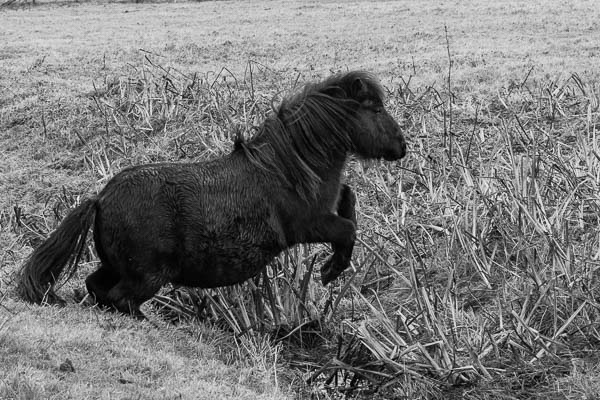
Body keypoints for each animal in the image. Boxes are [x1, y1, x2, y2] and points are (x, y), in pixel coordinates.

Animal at [17, 71, 407, 318]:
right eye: (375, 108)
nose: (402, 147)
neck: (288, 168)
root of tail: (100, 200)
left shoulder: (326, 206)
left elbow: (349, 199)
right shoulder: (310, 225)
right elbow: (348, 229)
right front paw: (330, 271)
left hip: (116, 266)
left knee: (97, 287)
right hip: (148, 275)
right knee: (121, 300)